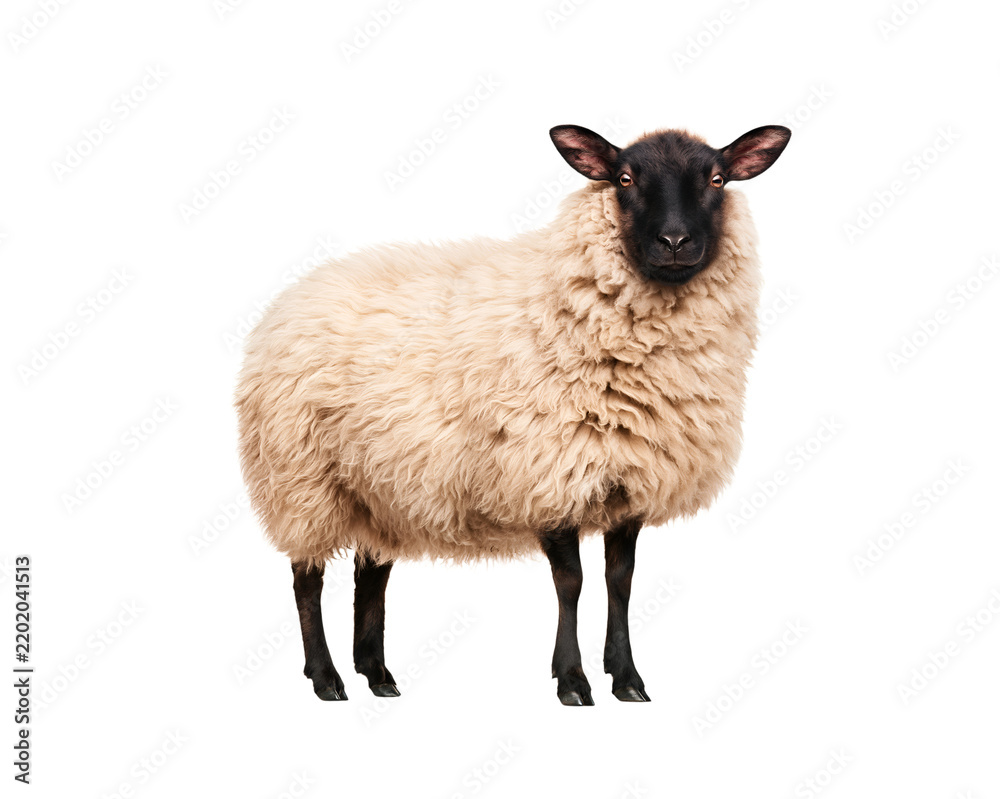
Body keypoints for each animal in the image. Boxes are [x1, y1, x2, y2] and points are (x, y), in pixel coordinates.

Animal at [235, 123, 790, 705]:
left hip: (380, 483)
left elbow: (621, 581)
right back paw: (326, 678)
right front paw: (572, 680)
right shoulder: (549, 473)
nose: (676, 243)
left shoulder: (628, 480)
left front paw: (627, 678)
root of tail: (292, 298)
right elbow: (572, 583)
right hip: (302, 478)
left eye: (717, 179)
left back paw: (377, 674)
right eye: (624, 178)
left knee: (372, 573)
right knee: (306, 578)